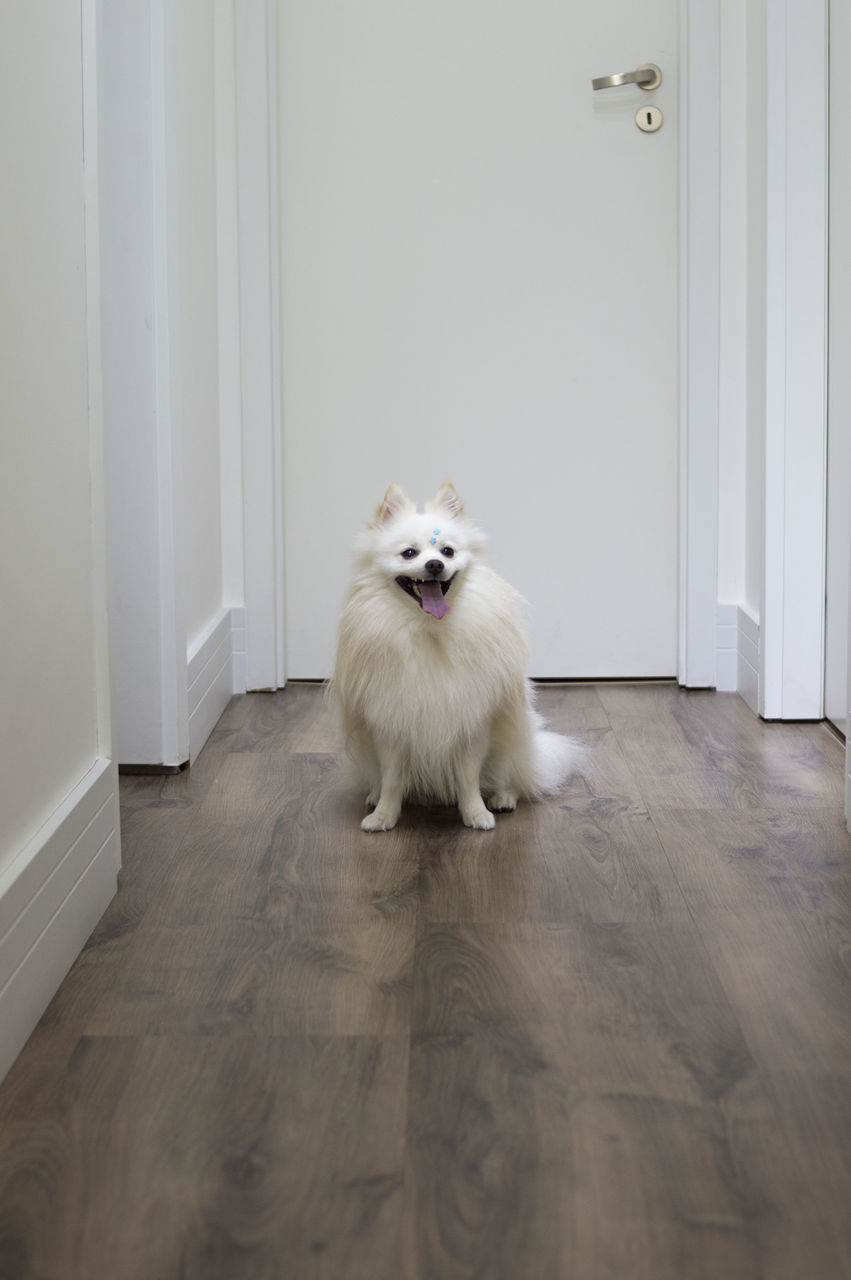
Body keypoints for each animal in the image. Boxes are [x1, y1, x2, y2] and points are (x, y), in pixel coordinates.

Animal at [327, 481, 580, 829]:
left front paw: (476, 813)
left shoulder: (471, 724)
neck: (430, 631)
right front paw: (384, 816)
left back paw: (503, 797)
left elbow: (468, 777)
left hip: (511, 743)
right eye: (409, 553)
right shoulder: (391, 726)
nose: (435, 564)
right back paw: (374, 796)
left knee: (512, 776)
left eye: (448, 551)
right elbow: (392, 778)